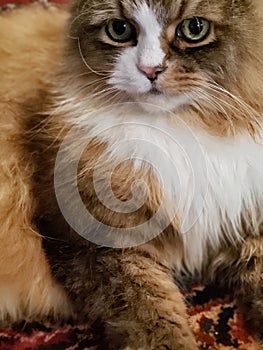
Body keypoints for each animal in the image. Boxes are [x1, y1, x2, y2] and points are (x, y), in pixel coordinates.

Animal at [0, 0, 263, 348]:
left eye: (194, 29)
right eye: (119, 30)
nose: (150, 70)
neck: (181, 129)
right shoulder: (100, 242)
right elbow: (151, 320)